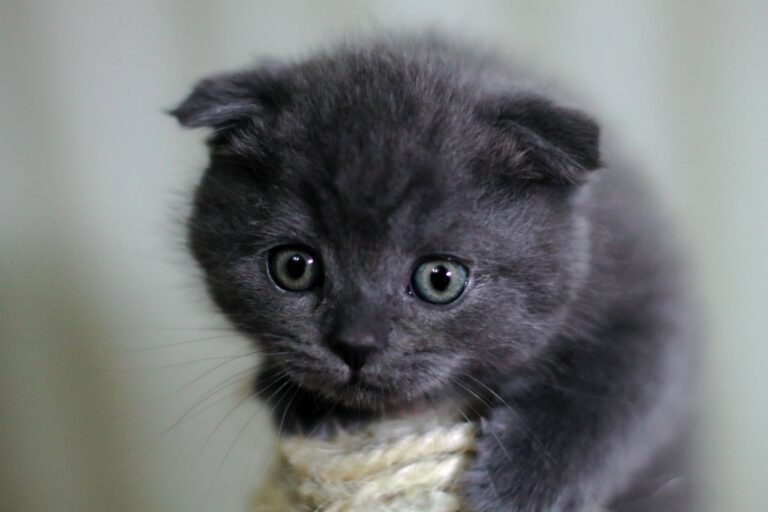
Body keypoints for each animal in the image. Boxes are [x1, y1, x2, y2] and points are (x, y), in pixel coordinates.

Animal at [172, 34, 696, 510]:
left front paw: (520, 485)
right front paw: (305, 402)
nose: (355, 345)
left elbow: (617, 389)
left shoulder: (651, 294)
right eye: (294, 267)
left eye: (439, 279)